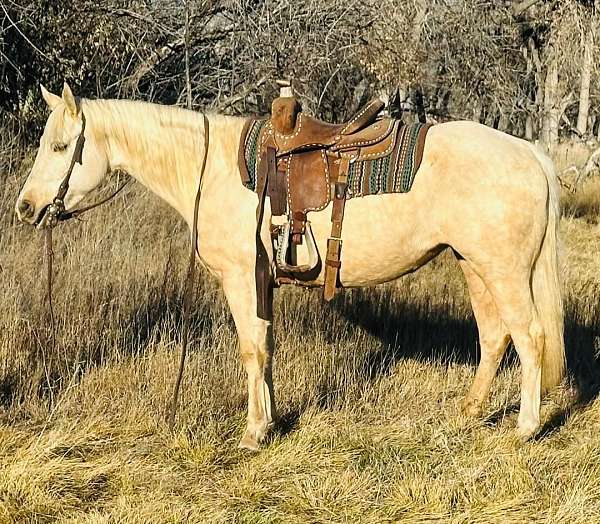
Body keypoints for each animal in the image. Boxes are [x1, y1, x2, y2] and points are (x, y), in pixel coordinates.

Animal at [16, 85, 564, 450]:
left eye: (61, 147)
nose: (25, 207)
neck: (210, 168)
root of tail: (530, 152)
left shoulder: (240, 278)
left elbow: (250, 348)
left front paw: (253, 433)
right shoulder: (261, 282)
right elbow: (267, 346)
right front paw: (273, 419)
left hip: (505, 273)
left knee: (530, 336)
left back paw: (525, 428)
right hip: (475, 266)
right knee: (495, 336)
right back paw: (468, 413)